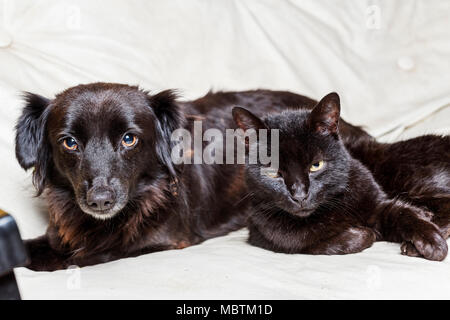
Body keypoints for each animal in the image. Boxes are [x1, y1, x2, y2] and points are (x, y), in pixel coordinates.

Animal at [232, 92, 450, 260]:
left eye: (316, 165)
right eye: (273, 173)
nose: (300, 195)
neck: (329, 208)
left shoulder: (379, 205)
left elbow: (405, 214)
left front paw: (433, 243)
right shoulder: (265, 234)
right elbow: (314, 243)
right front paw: (363, 233)